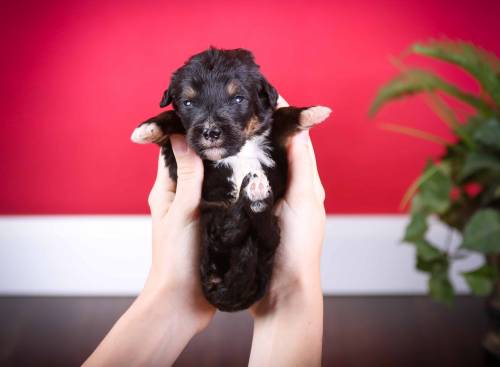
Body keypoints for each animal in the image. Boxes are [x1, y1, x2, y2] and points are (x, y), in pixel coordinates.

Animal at [131, 48, 330, 314]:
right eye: (188, 102)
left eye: (237, 99)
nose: (210, 132)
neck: (237, 151)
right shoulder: (175, 155)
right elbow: (173, 118)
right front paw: (148, 128)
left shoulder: (275, 147)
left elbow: (280, 116)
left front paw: (311, 112)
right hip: (211, 221)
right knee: (229, 231)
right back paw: (253, 196)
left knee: (264, 234)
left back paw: (256, 195)